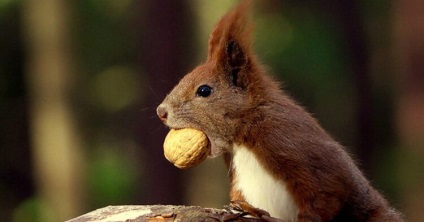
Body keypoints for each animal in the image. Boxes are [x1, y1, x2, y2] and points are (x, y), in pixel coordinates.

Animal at [157, 0, 404, 221]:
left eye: (204, 90)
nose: (161, 112)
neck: (244, 132)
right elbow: (239, 198)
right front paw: (241, 209)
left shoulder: (287, 142)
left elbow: (325, 193)